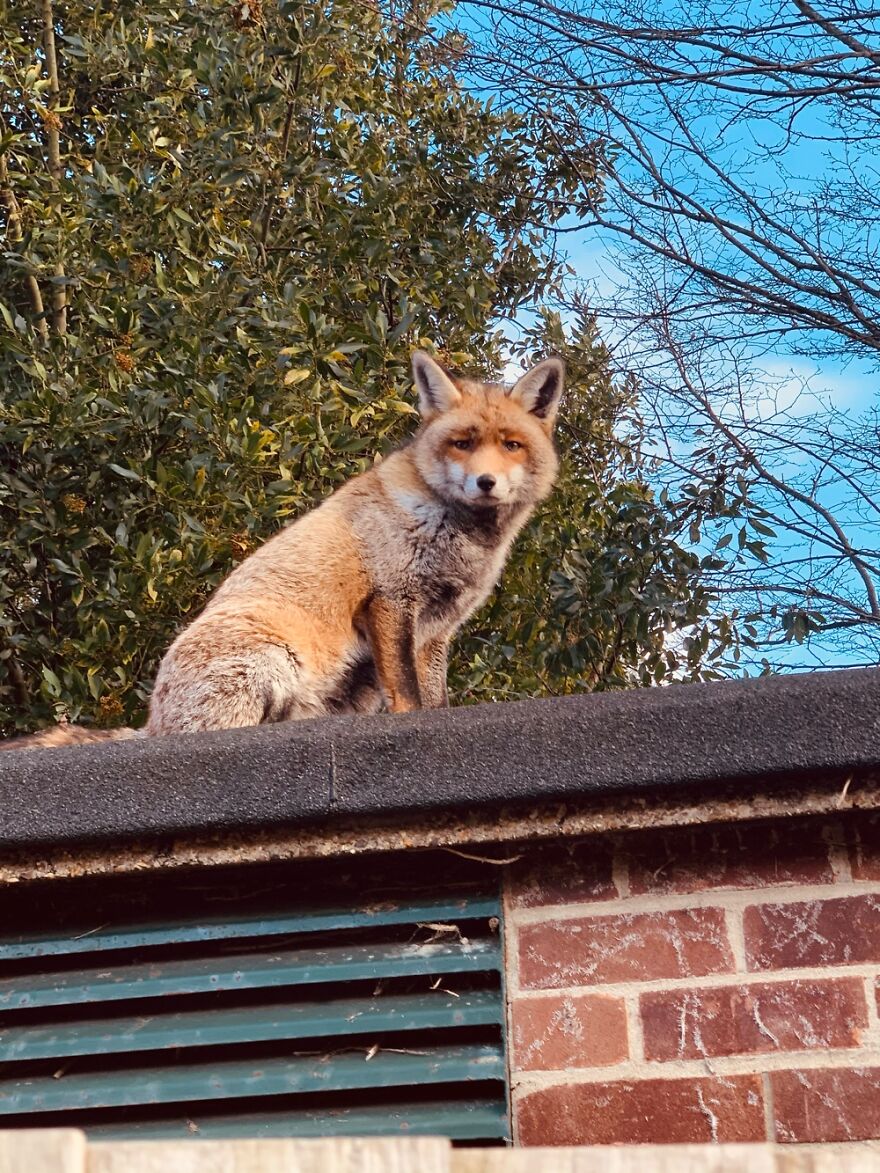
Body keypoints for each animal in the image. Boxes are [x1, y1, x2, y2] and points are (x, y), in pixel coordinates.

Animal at [1, 350, 564, 750]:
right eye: (463, 443)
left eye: (511, 445)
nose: (486, 483)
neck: (454, 532)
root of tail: (152, 722)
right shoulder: (391, 600)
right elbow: (409, 698)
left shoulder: (436, 630)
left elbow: (435, 698)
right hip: (273, 660)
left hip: (347, 691)